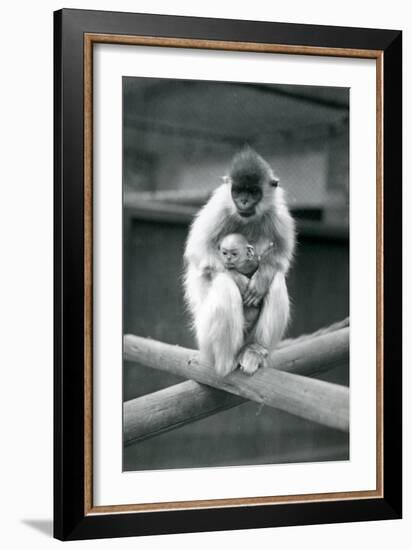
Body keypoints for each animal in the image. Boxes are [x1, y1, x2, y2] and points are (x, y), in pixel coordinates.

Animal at [184, 148, 296, 380]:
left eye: (252, 192)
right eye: (238, 192)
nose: (243, 202)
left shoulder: (278, 212)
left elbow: (282, 256)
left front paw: (260, 281)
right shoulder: (219, 206)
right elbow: (198, 250)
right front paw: (242, 281)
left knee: (276, 279)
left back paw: (254, 351)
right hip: (205, 340)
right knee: (223, 283)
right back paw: (226, 364)